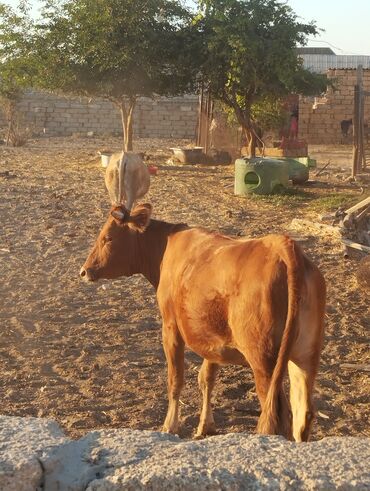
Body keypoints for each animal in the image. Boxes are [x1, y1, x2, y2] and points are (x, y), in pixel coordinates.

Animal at [80, 204, 324, 442]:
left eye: (108, 238)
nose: (84, 271)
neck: (167, 246)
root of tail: (283, 247)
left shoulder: (170, 328)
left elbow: (175, 379)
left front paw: (170, 426)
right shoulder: (213, 339)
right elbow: (206, 378)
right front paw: (205, 426)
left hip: (263, 360)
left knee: (277, 413)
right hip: (305, 356)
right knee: (302, 413)